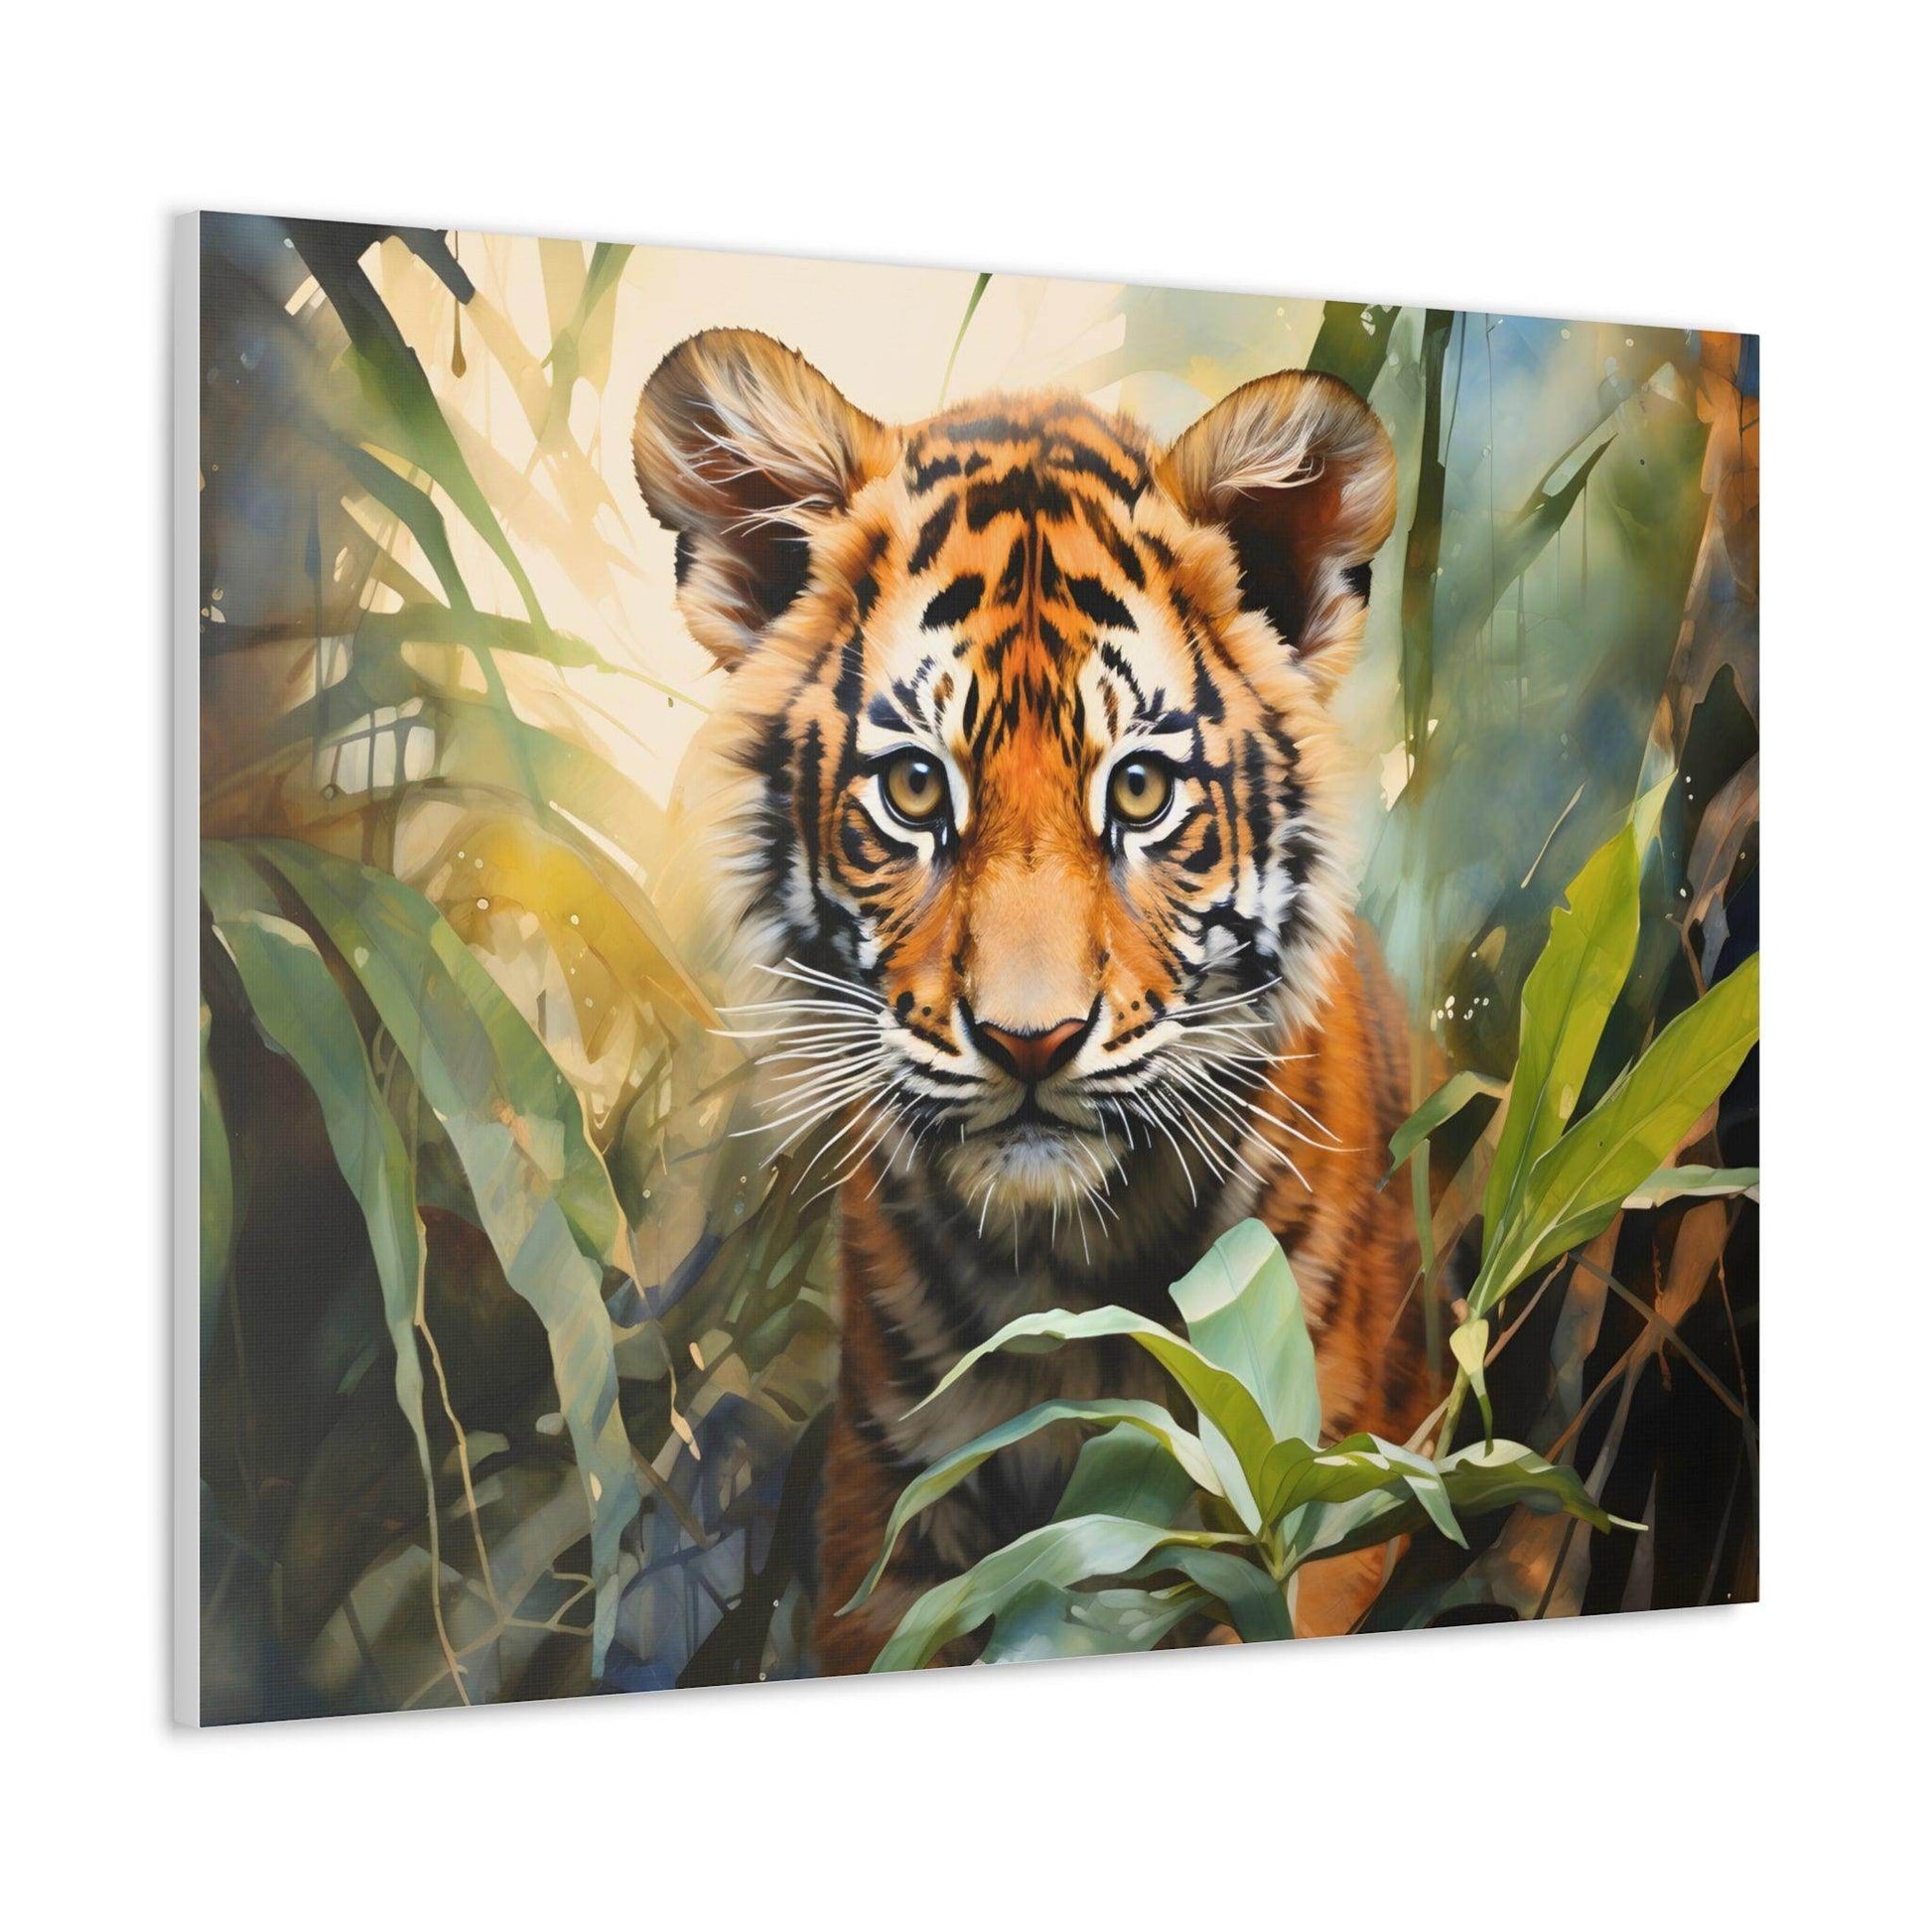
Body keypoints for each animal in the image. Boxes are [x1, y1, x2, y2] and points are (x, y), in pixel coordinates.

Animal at [632, 326, 1431, 1674]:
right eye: (912, 788)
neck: (1066, 1274)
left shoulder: (1316, 1506)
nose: (1028, 1041)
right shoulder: (887, 1522)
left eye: (1142, 790)